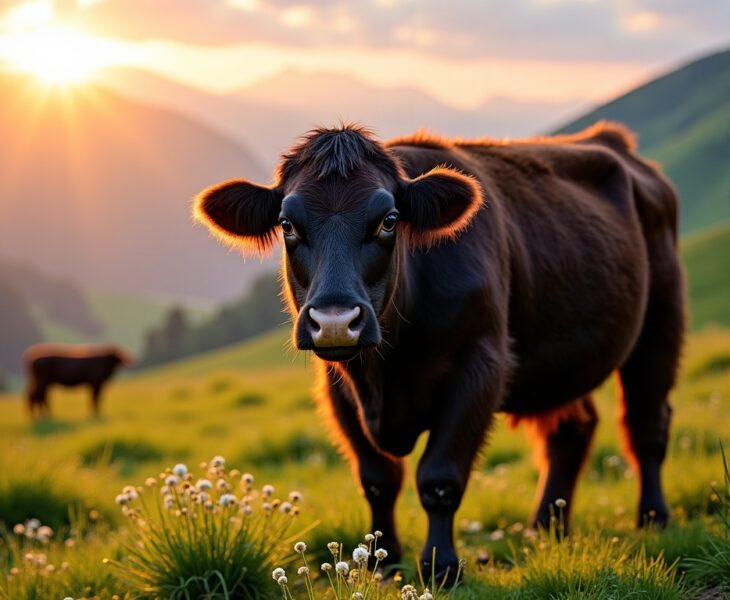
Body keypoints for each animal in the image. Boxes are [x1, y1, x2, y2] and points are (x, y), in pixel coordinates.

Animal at [194, 122, 684, 580]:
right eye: (287, 224)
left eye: (389, 220)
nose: (335, 321)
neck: (386, 370)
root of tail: (612, 140)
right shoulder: (338, 388)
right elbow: (377, 479)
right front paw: (382, 561)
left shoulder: (480, 366)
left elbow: (440, 477)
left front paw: (440, 566)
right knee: (572, 429)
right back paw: (546, 528)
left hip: (661, 321)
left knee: (646, 424)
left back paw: (653, 517)